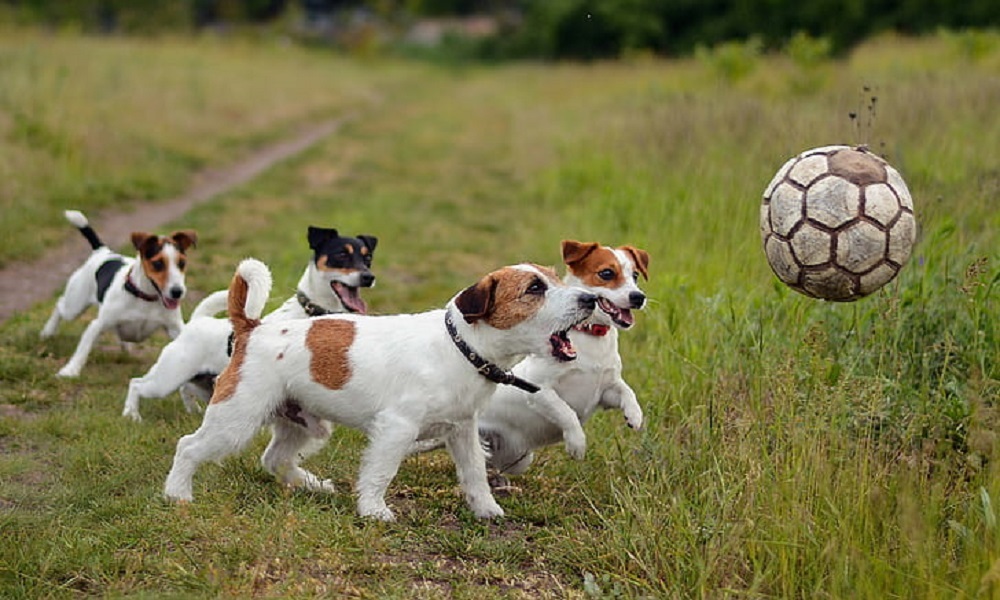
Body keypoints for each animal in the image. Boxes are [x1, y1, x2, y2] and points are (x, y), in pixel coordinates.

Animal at [41, 211, 197, 378]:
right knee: (59, 305)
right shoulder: (97, 325)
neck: (146, 298)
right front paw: (70, 370)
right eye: (158, 263)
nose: (177, 292)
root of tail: (102, 251)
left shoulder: (175, 327)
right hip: (75, 305)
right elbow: (82, 349)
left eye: (182, 263)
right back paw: (47, 331)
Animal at [120, 226, 376, 422]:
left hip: (203, 381)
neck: (313, 313)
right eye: (341, 255)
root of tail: (199, 320)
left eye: (367, 258)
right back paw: (132, 414)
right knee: (137, 384)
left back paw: (193, 410)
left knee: (186, 388)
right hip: (167, 378)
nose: (368, 277)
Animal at [165, 258, 596, 520]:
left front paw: (485, 509)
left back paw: (313, 486)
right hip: (235, 419)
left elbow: (474, 472)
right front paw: (373, 511)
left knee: (274, 458)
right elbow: (380, 472)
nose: (591, 298)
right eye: (534, 288)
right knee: (188, 446)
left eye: (556, 278)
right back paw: (176, 494)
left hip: (305, 424)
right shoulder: (396, 429)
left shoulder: (462, 430)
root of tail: (251, 329)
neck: (459, 347)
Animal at [474, 238, 648, 474]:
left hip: (518, 459)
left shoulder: (606, 391)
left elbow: (627, 391)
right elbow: (566, 412)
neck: (591, 337)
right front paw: (577, 443)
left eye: (635, 276)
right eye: (606, 273)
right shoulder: (540, 391)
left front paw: (635, 415)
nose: (638, 297)